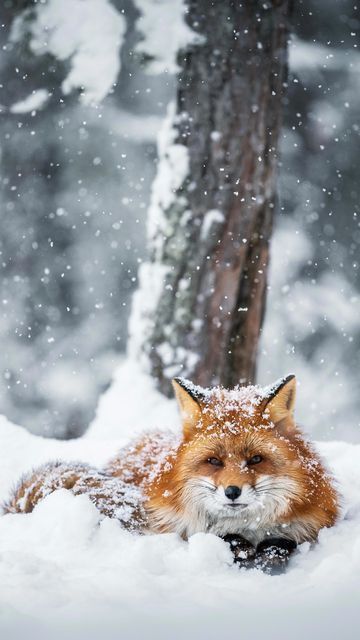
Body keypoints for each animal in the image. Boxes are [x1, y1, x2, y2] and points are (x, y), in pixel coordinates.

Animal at [4, 376, 338, 564]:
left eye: (255, 459)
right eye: (214, 461)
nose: (232, 492)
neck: (247, 527)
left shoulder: (305, 527)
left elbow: (281, 543)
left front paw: (269, 556)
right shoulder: (179, 529)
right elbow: (224, 539)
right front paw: (242, 551)